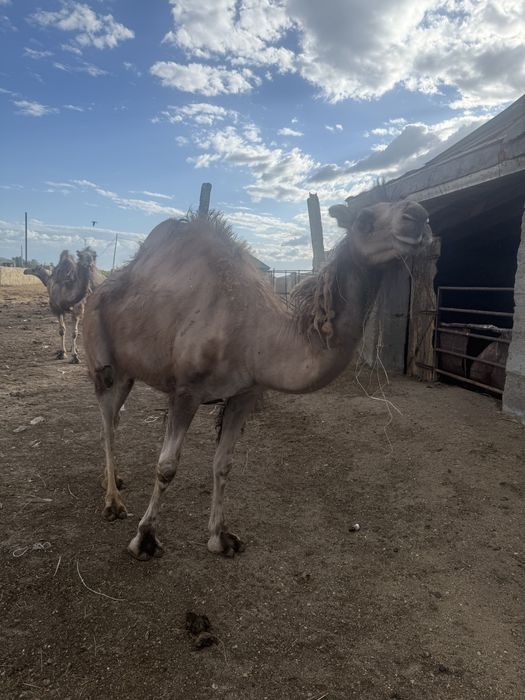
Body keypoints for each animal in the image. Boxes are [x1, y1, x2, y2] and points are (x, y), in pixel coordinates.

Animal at [83, 201, 432, 561]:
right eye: (364, 219)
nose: (418, 215)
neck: (252, 334)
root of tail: (96, 292)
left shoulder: (245, 393)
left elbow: (224, 464)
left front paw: (220, 538)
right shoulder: (186, 391)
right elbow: (166, 467)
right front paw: (145, 539)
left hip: (128, 372)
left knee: (114, 419)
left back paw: (113, 481)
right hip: (103, 365)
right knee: (107, 422)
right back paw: (113, 503)